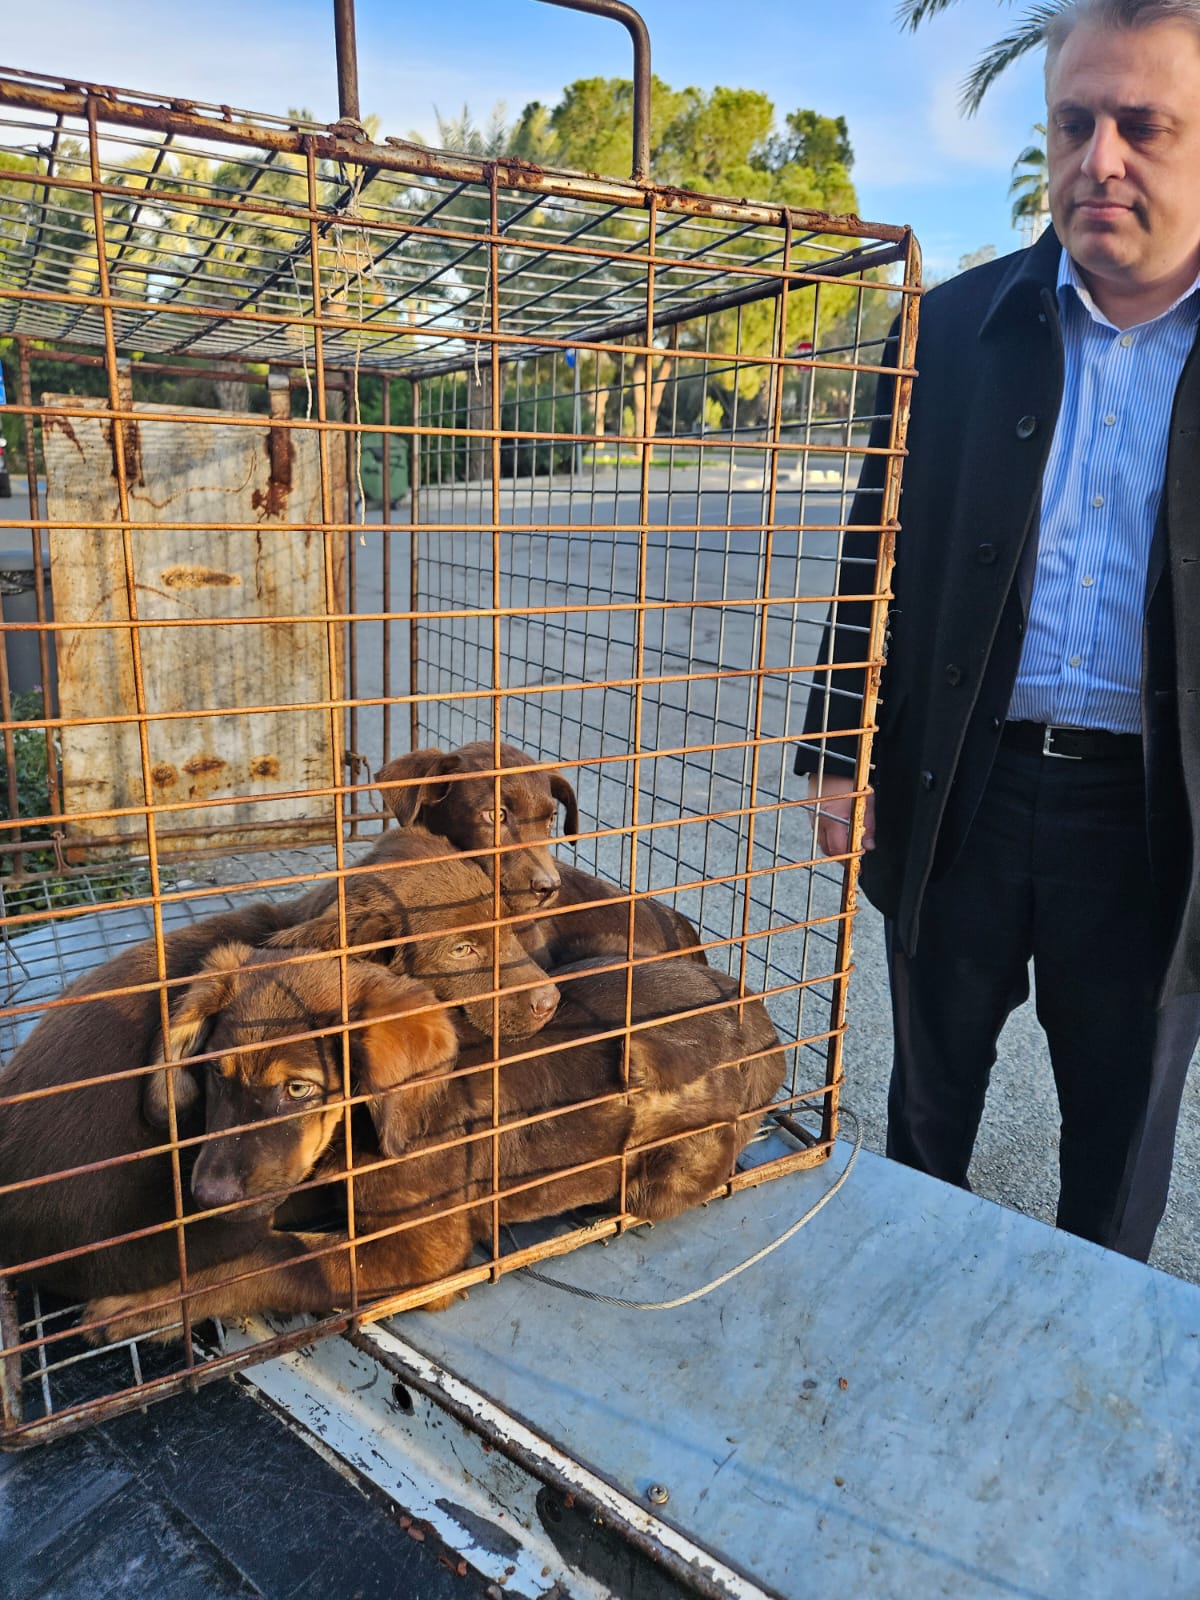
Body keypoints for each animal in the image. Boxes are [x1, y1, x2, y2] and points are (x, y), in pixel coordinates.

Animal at [83, 951, 787, 1342]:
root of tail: (761, 1016)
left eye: (300, 1088)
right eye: (215, 1077)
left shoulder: (423, 1251)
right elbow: (259, 1231)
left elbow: (270, 1258)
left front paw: (142, 1304)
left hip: (664, 1170)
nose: (204, 1193)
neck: (366, 1127)